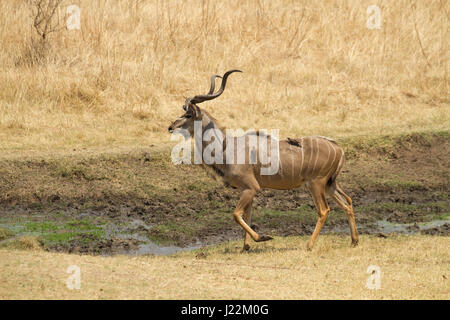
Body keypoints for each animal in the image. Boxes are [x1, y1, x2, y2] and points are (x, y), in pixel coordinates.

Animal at [169, 69, 358, 250]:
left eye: (188, 115)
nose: (171, 127)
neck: (228, 147)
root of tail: (338, 149)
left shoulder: (252, 188)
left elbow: (236, 214)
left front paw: (262, 237)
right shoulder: (246, 190)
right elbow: (247, 215)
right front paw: (245, 247)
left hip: (316, 183)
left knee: (324, 210)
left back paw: (309, 245)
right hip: (329, 185)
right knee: (347, 203)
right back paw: (354, 241)